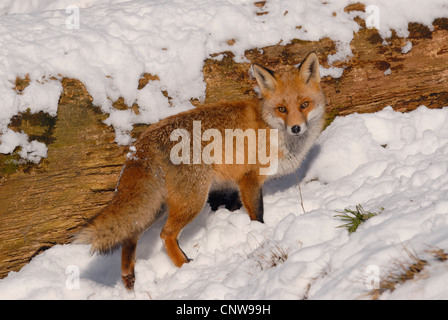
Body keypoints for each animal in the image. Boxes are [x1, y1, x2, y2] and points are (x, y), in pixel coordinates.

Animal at [75, 53, 328, 290]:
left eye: (304, 105)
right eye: (282, 109)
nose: (296, 128)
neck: (270, 127)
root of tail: (143, 143)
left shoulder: (238, 185)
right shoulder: (249, 179)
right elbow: (257, 215)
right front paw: (262, 235)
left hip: (156, 207)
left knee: (130, 234)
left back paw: (129, 277)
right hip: (192, 201)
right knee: (165, 235)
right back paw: (184, 266)